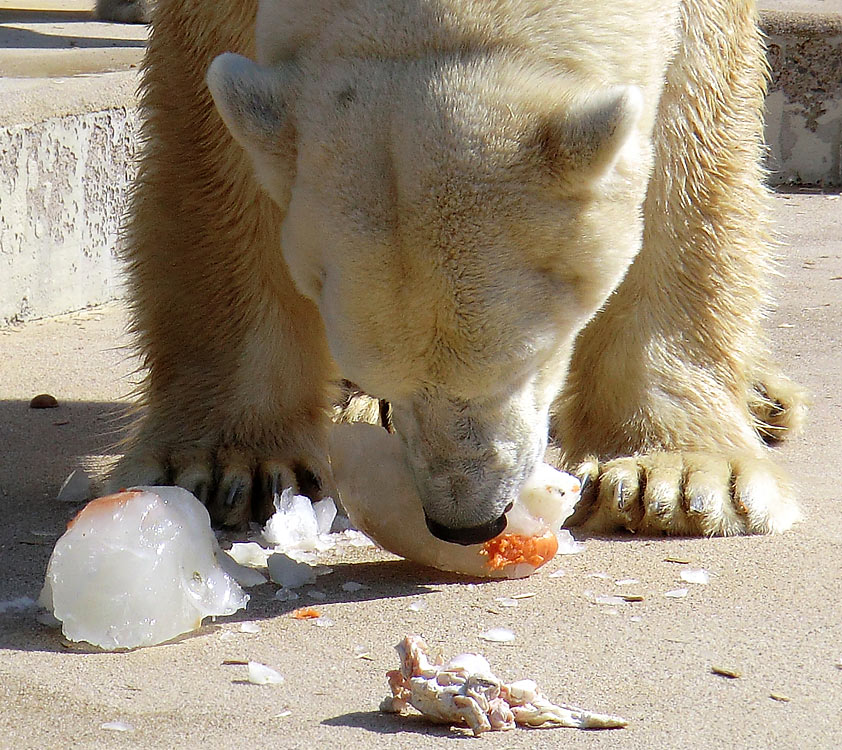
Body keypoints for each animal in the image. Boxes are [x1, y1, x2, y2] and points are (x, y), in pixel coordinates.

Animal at [108, 0, 804, 540]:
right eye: (388, 379)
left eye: (528, 360)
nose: (467, 522)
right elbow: (211, 139)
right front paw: (229, 467)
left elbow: (694, 123)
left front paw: (677, 477)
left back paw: (763, 397)